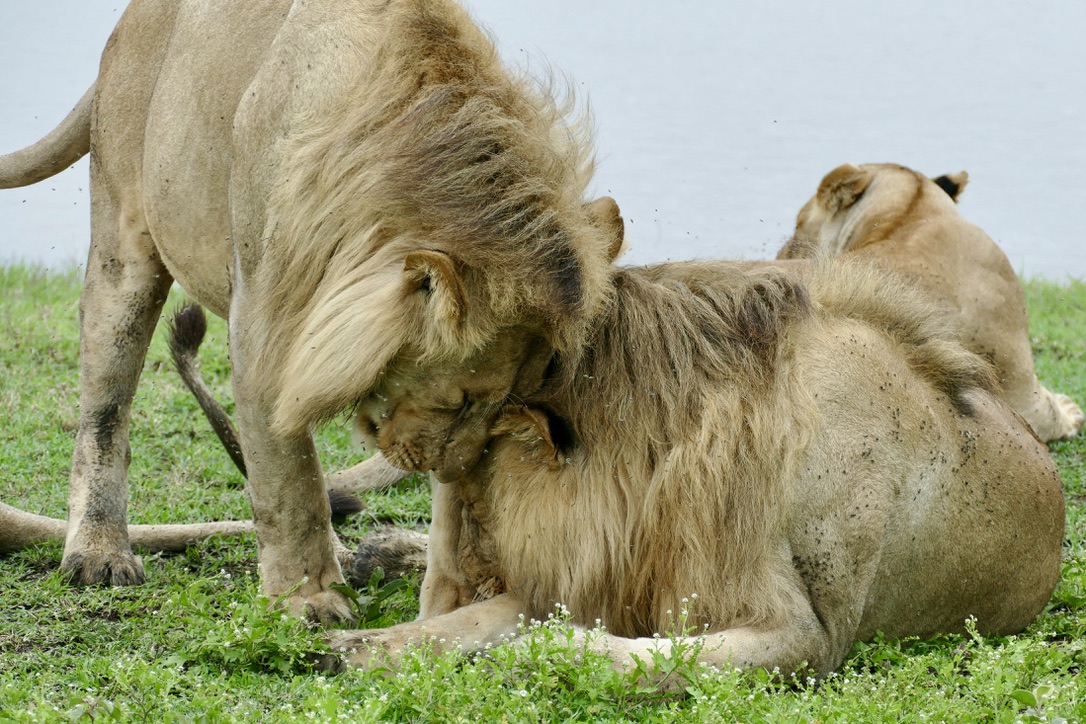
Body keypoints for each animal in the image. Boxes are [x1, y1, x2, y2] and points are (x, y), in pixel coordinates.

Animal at [0, 0, 622, 622]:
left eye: (511, 407)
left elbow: (445, 520)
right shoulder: (262, 325)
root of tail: (126, 23)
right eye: (462, 399)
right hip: (123, 234)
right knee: (105, 411)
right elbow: (289, 481)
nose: (447, 469)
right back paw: (98, 553)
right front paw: (310, 599)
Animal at [323, 258, 1065, 680]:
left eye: (475, 498)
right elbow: (476, 622)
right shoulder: (582, 571)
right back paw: (374, 554)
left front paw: (529, 653)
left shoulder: (809, 638)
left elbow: (647, 653)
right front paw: (356, 645)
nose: (450, 586)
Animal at [777, 162, 1083, 442]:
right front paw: (1072, 411)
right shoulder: (1022, 391)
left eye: (797, 223)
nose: (781, 253)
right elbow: (1052, 412)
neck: (909, 216)